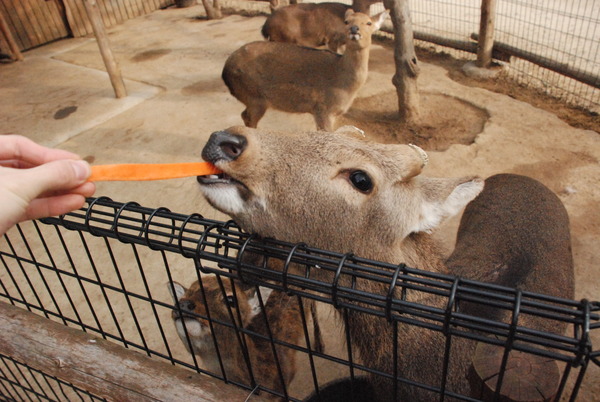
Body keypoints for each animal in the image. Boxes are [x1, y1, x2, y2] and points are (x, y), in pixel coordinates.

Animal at [221, 10, 390, 131]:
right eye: (347, 22)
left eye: (369, 22)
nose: (354, 29)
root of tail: (225, 71)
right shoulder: (322, 109)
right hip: (255, 97)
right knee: (248, 118)